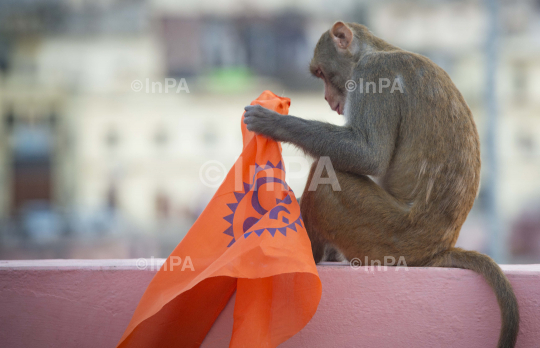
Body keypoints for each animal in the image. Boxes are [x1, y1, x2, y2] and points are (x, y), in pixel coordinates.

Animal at [245, 21, 520, 348]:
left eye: (323, 73)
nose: (328, 100)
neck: (376, 50)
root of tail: (437, 251)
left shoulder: (374, 76)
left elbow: (369, 155)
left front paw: (274, 123)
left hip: (385, 236)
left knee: (328, 177)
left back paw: (311, 253)